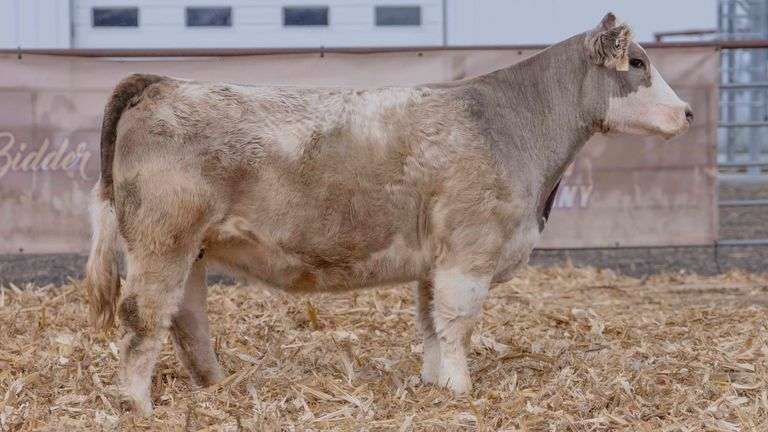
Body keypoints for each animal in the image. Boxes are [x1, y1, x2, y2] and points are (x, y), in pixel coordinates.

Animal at [83, 13, 692, 415]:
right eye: (638, 63)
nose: (687, 112)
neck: (511, 126)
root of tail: (162, 82)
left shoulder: (435, 261)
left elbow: (431, 323)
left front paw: (434, 385)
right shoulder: (469, 252)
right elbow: (457, 322)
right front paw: (461, 391)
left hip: (190, 249)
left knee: (185, 318)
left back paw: (216, 387)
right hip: (162, 241)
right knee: (142, 315)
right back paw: (139, 407)